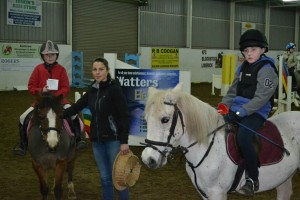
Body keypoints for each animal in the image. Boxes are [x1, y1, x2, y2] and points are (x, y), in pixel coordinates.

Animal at [142, 82, 300, 199]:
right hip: (284, 178)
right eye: (146, 120)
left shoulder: (217, 193)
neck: (207, 148)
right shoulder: (205, 194)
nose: (147, 159)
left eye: (165, 119)